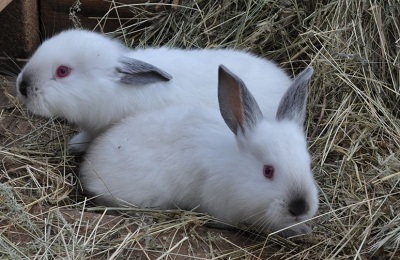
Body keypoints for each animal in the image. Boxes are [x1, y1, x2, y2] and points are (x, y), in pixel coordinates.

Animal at [80, 65, 318, 236]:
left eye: (308, 165)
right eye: (268, 171)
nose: (300, 207)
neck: (236, 166)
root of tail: (88, 167)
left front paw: (302, 228)